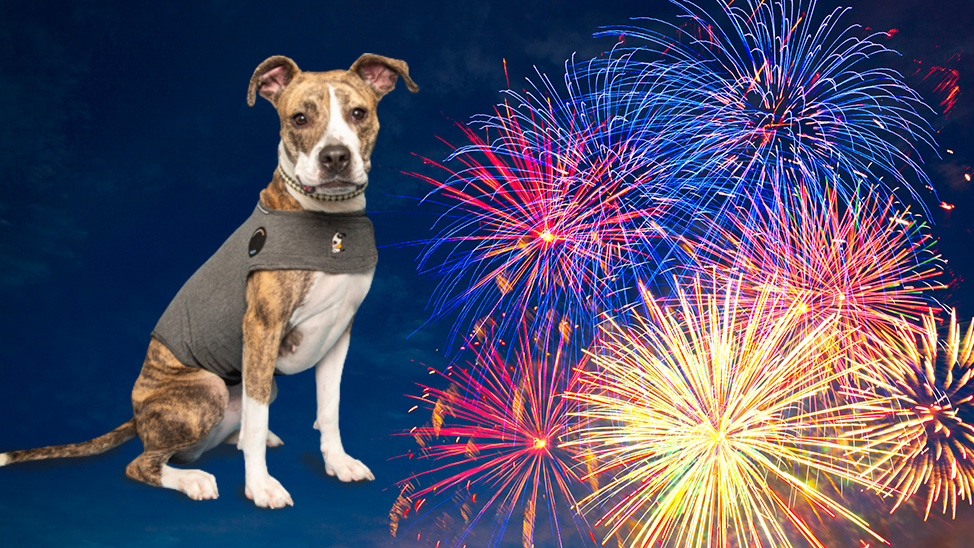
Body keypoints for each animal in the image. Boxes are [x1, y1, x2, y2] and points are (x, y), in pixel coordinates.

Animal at [0, 53, 420, 508]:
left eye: (358, 113)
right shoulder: (262, 329)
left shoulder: (339, 332)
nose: (335, 157)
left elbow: (329, 409)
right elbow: (260, 420)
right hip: (209, 387)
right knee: (144, 463)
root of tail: (137, 416)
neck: (329, 225)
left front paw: (338, 462)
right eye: (300, 118)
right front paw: (260, 486)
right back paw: (193, 480)